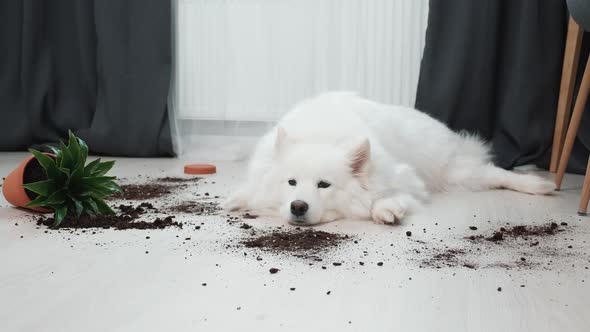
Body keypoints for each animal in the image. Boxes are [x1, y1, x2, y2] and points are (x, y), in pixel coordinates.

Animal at [222, 92, 556, 224]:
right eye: (291, 183)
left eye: (324, 185)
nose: (298, 206)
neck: (322, 134)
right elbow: (250, 191)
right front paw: (237, 198)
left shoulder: (410, 181)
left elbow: (386, 198)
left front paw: (387, 209)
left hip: (454, 173)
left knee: (495, 173)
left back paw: (539, 185)